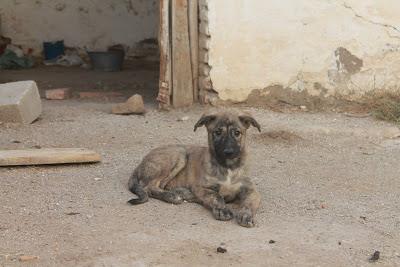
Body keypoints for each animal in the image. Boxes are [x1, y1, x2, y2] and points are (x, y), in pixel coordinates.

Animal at [126, 111, 260, 228]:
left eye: (237, 132)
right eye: (217, 132)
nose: (228, 152)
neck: (228, 167)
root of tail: (141, 163)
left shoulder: (251, 191)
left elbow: (249, 203)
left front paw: (246, 216)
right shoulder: (202, 187)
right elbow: (217, 197)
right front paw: (222, 210)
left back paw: (183, 192)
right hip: (179, 153)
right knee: (149, 187)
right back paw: (172, 195)